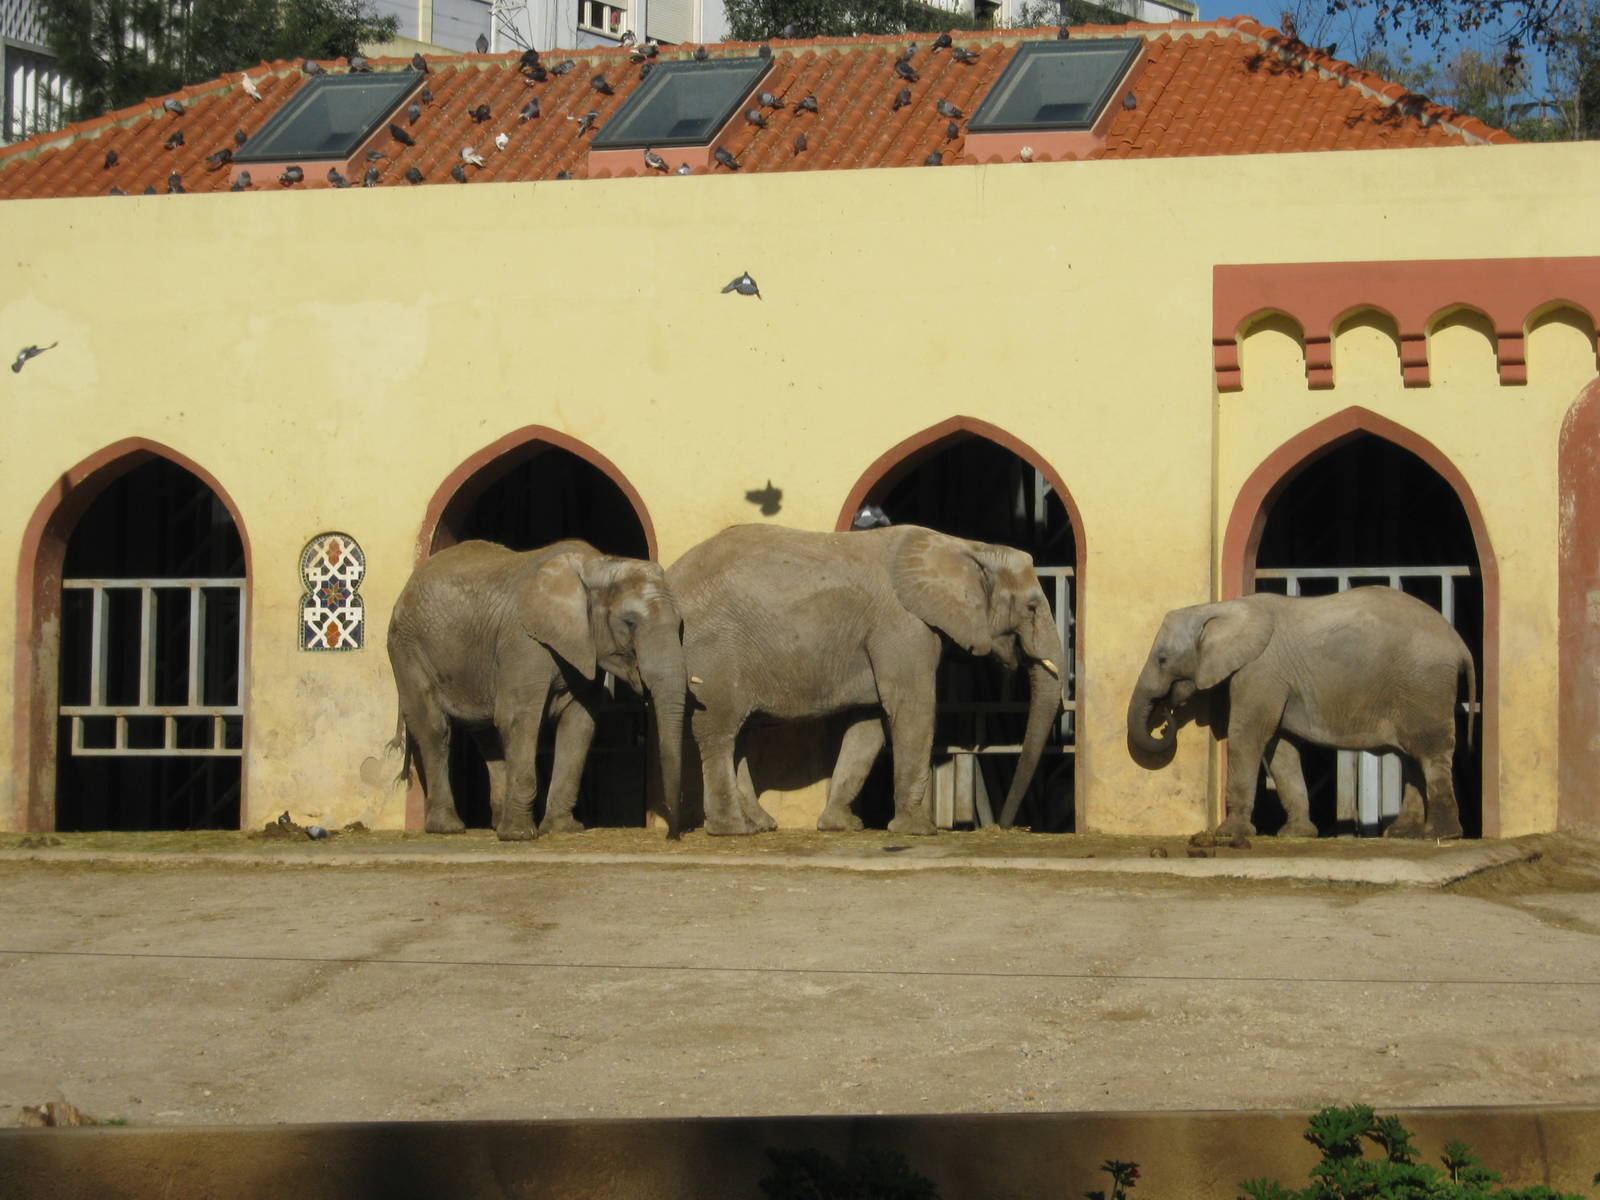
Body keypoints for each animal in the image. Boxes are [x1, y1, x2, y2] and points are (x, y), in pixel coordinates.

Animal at [387, 539, 686, 840]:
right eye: (630, 623)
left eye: (681, 626)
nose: (671, 835)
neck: (596, 566)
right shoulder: (524, 641)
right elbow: (518, 719)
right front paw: (519, 835)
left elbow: (579, 724)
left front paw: (562, 829)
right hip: (407, 649)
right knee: (435, 729)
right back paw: (449, 828)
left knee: (486, 735)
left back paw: (495, 823)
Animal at [667, 524, 1066, 836]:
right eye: (1032, 607)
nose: (1005, 824)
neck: (965, 546)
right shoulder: (902, 625)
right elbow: (912, 708)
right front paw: (918, 830)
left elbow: (868, 724)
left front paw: (840, 825)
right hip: (713, 649)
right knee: (718, 729)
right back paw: (733, 829)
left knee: (740, 734)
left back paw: (760, 825)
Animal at [1126, 586, 1476, 840]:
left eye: (1162, 659)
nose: (1165, 718)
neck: (1220, 608)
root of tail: (1461, 645)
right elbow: (1280, 749)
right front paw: (1296, 834)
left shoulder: (1261, 670)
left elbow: (1247, 735)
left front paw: (1230, 834)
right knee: (1411, 757)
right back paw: (1403, 834)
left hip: (1425, 683)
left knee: (1430, 752)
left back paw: (1440, 835)